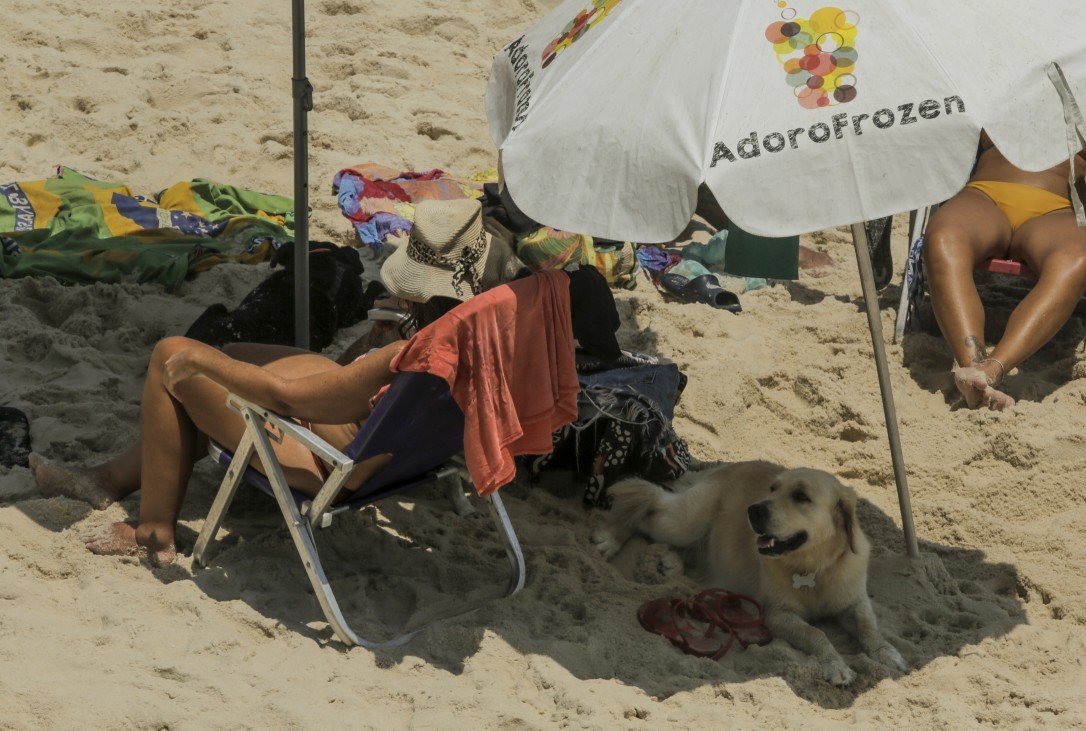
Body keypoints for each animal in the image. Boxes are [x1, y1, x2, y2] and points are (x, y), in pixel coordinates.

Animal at [595, 458, 907, 686]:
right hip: (682, 522)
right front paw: (836, 665)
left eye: (801, 496)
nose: (753, 510)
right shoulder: (777, 614)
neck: (812, 568)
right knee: (645, 507)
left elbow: (869, 628)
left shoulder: (855, 602)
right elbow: (816, 633)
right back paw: (611, 538)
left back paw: (672, 561)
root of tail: (731, 465)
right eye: (772, 489)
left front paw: (888, 653)